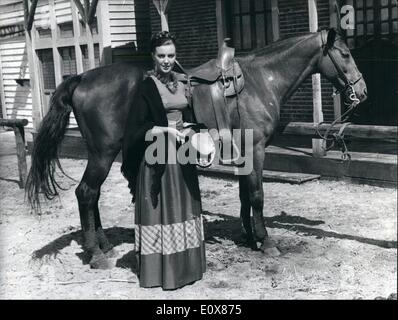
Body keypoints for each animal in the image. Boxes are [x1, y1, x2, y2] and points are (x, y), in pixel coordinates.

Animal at [25, 29, 366, 270]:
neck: (260, 81)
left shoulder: (244, 153)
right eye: (345, 53)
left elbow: (245, 194)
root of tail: (82, 78)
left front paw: (248, 237)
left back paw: (104, 244)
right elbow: (257, 195)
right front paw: (266, 241)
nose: (361, 91)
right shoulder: (255, 150)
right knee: (85, 193)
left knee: (92, 195)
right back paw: (96, 253)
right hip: (102, 153)